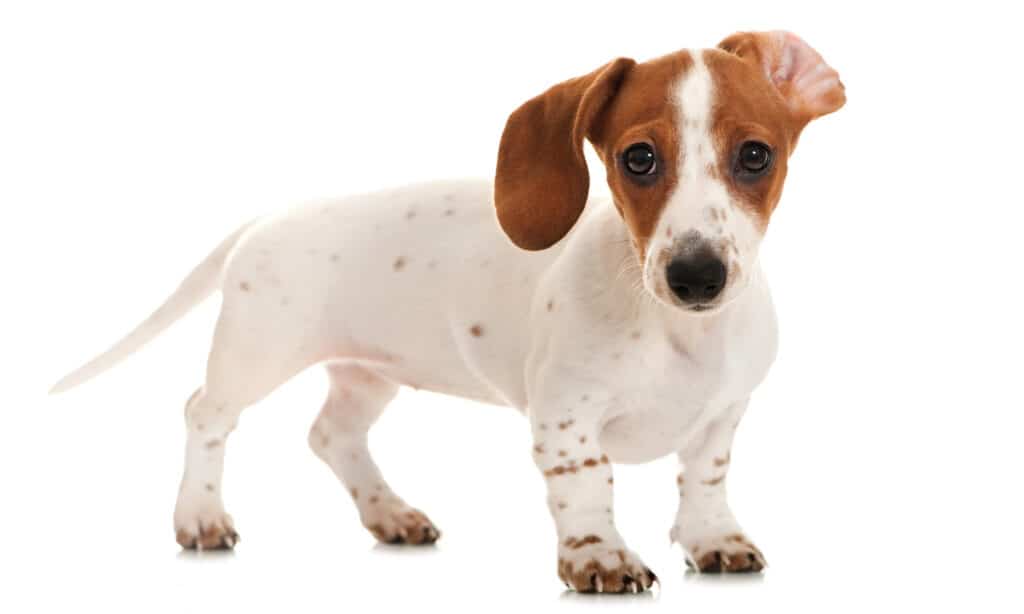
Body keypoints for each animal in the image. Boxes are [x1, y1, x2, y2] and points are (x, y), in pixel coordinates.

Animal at [51, 31, 843, 593]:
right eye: (639, 158)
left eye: (755, 155)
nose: (697, 275)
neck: (678, 330)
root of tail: (266, 221)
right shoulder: (566, 419)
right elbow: (588, 487)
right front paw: (601, 558)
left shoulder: (723, 415)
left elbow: (705, 480)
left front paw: (715, 540)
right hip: (255, 352)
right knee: (204, 414)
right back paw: (200, 516)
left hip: (368, 374)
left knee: (330, 435)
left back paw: (390, 514)